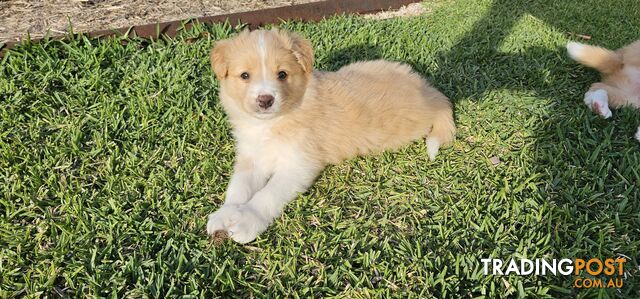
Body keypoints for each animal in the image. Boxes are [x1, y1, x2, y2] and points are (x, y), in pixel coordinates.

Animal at [205, 29, 456, 244]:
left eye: (282, 74)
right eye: (244, 75)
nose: (265, 100)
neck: (271, 124)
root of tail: (432, 93)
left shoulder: (298, 164)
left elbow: (268, 194)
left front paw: (247, 221)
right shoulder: (251, 157)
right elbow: (238, 187)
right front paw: (224, 215)